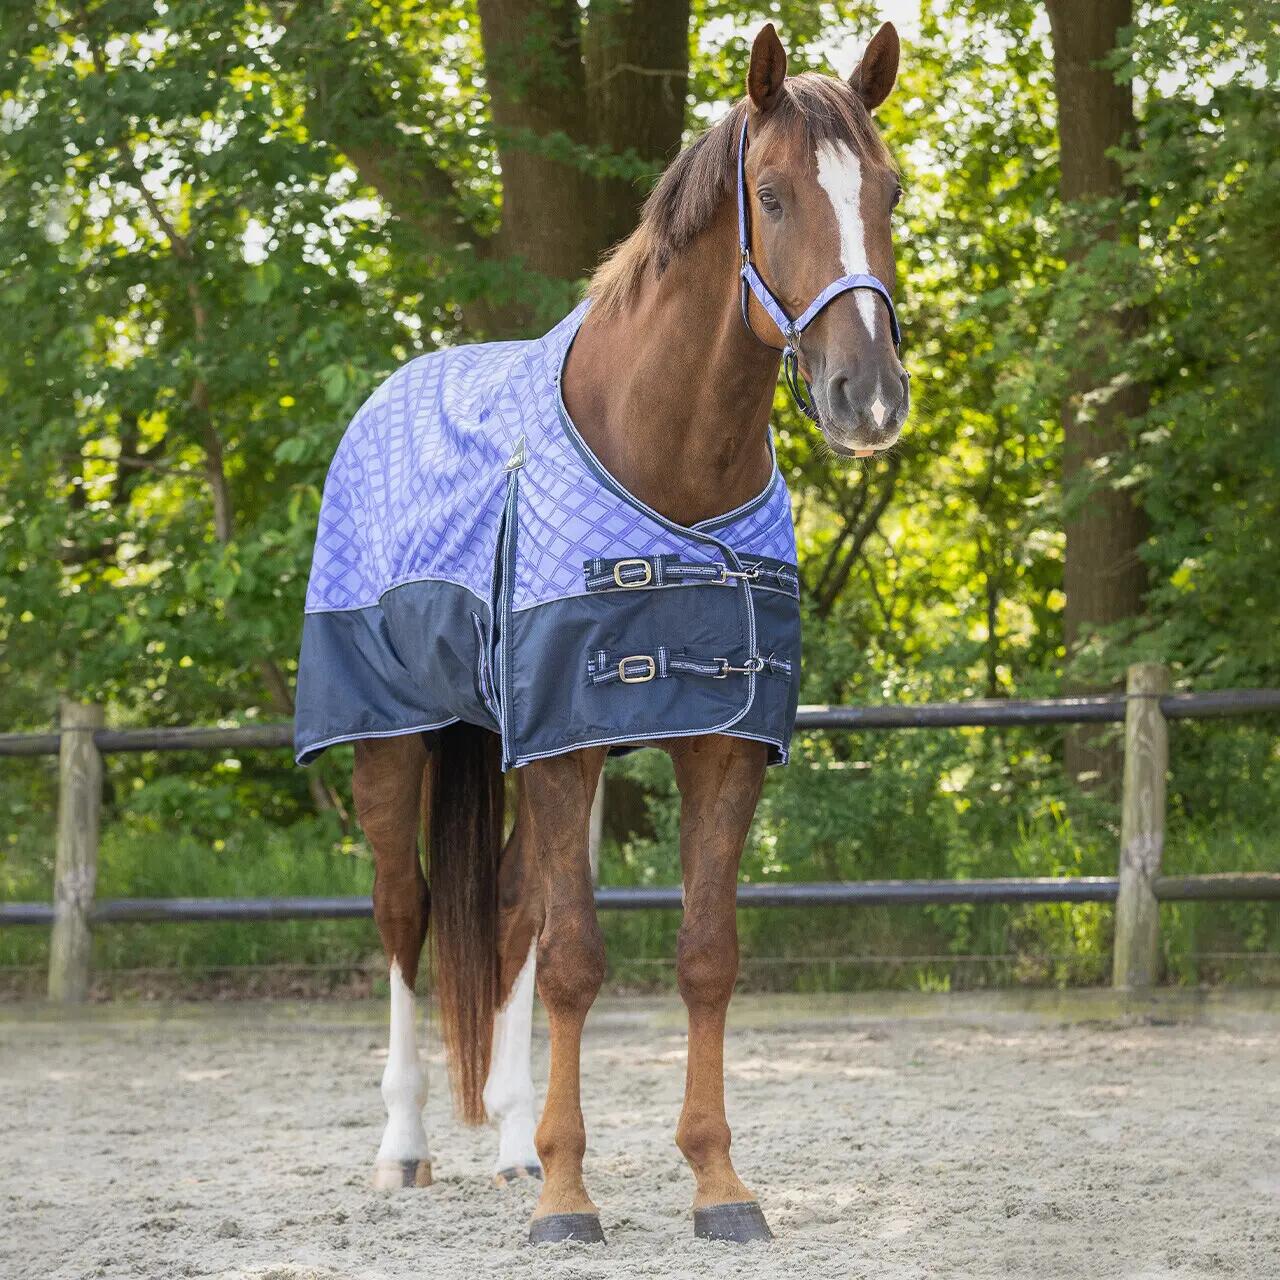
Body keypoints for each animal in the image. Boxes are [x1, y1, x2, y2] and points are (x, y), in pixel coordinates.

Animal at [295, 19, 907, 1245]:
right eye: (772, 195)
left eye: (891, 192)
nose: (867, 397)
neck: (667, 453)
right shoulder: (562, 746)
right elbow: (577, 960)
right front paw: (569, 1196)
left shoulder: (713, 742)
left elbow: (702, 955)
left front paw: (716, 1183)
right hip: (392, 739)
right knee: (406, 915)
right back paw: (406, 1146)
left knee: (509, 918)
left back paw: (508, 1147)